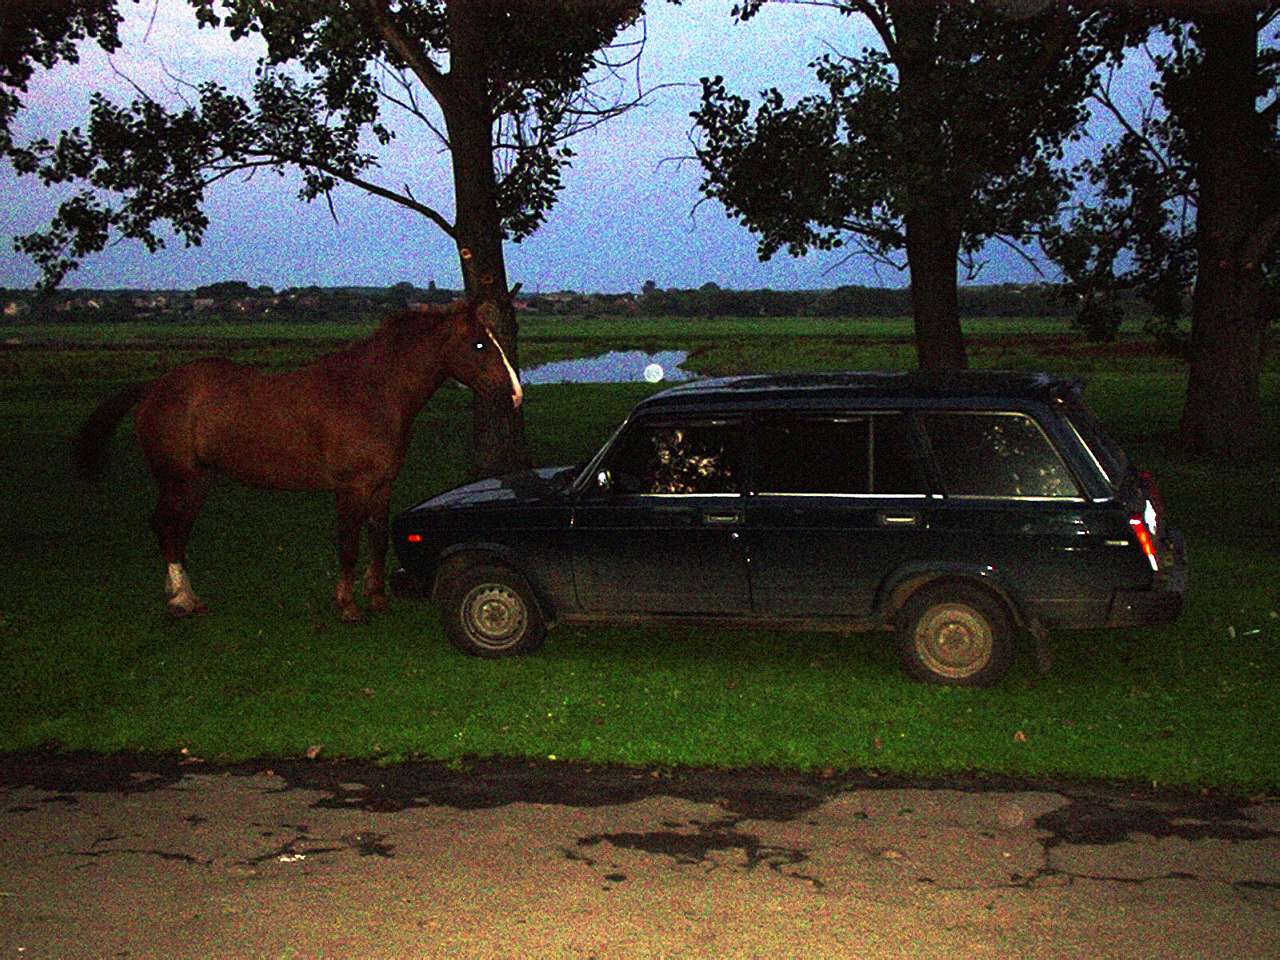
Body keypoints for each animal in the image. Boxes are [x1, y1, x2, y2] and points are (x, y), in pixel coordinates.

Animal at [72, 296, 522, 619]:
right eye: (479, 344)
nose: (516, 394)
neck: (370, 393)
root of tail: (153, 387)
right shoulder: (350, 488)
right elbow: (348, 545)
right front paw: (348, 607)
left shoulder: (382, 485)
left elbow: (377, 541)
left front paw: (377, 599)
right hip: (179, 479)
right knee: (167, 527)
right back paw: (183, 599)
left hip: (198, 481)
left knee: (175, 530)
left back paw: (181, 593)